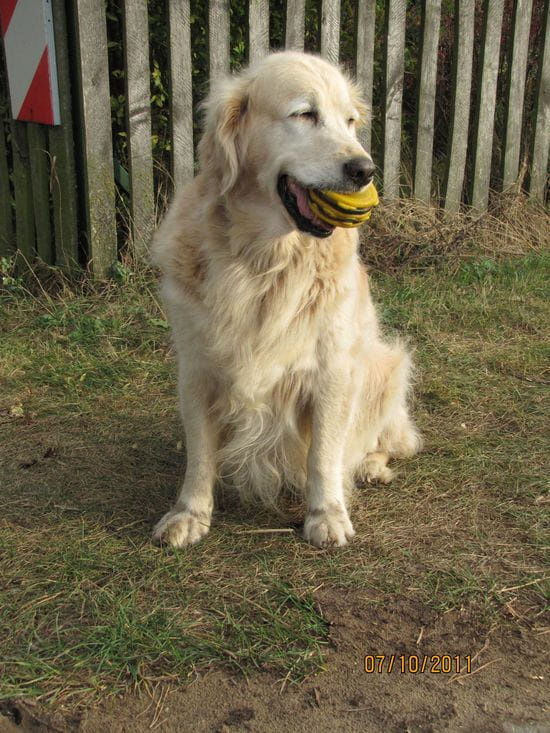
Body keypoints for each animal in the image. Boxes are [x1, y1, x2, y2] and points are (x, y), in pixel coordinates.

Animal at [151, 51, 422, 548]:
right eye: (304, 114)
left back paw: (371, 467)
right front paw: (189, 513)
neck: (266, 261)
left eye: (350, 121)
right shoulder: (197, 368)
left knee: (386, 440)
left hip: (386, 365)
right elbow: (200, 454)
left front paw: (326, 514)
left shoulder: (333, 370)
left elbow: (324, 454)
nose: (365, 170)